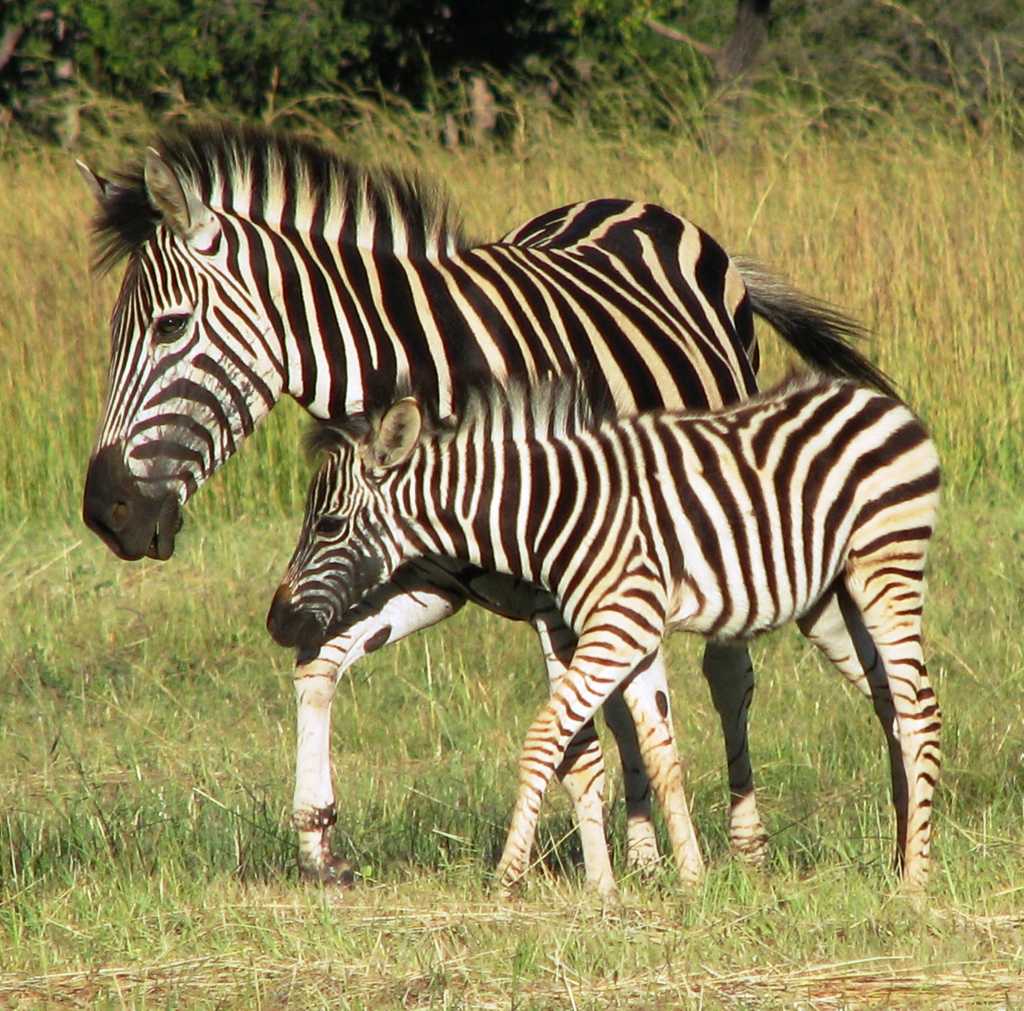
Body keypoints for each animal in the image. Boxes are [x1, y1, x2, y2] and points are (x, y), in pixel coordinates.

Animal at [274, 373, 942, 892]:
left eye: (329, 525)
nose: (279, 623)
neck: (548, 511)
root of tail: (877, 398)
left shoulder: (620, 622)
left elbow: (546, 738)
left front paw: (508, 876)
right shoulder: (630, 630)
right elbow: (661, 753)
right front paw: (691, 878)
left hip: (886, 566)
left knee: (920, 709)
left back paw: (914, 883)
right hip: (832, 600)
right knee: (895, 708)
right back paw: (905, 852)